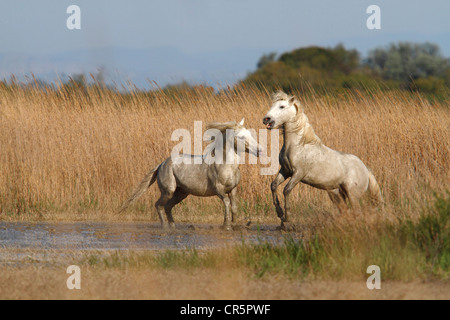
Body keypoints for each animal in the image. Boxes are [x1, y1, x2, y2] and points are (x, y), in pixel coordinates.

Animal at [262, 91, 382, 229]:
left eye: (282, 106)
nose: (266, 119)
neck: (298, 145)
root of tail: (366, 170)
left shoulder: (298, 174)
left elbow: (286, 190)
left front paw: (287, 219)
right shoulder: (285, 171)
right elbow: (273, 186)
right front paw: (280, 215)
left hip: (352, 195)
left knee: (357, 212)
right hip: (337, 194)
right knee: (346, 211)